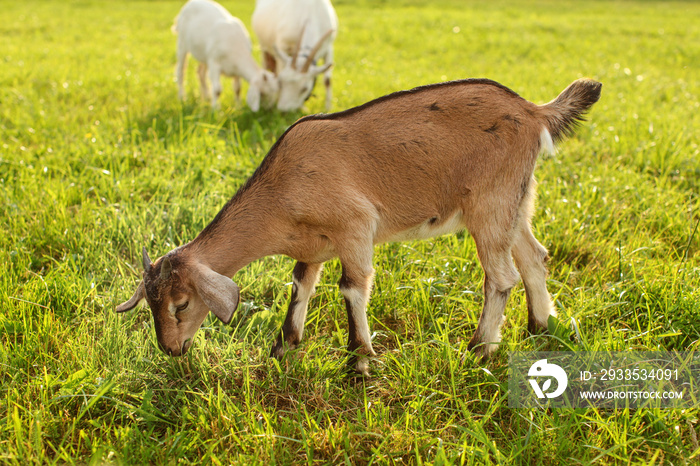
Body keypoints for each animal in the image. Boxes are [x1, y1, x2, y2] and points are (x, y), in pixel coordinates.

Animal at [116, 76, 600, 374]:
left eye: (180, 304)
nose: (170, 348)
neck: (283, 186)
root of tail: (535, 111)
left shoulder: (355, 227)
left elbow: (351, 287)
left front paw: (361, 361)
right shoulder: (313, 247)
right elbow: (301, 286)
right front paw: (283, 348)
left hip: (489, 202)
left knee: (501, 276)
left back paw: (479, 349)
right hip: (516, 201)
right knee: (534, 257)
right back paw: (540, 326)